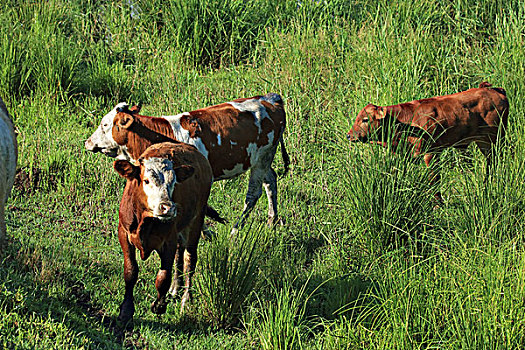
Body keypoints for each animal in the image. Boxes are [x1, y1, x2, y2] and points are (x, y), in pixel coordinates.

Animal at [87, 94, 290, 234]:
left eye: (104, 124)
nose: (88, 142)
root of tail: (270, 99)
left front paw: (206, 233)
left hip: (261, 159)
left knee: (253, 194)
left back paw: (235, 230)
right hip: (264, 160)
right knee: (271, 182)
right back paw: (272, 221)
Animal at [114, 142, 213, 322]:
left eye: (173, 183)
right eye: (146, 181)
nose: (168, 207)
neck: (145, 221)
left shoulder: (168, 241)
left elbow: (163, 277)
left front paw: (159, 305)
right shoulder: (123, 234)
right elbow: (130, 271)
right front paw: (126, 310)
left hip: (196, 221)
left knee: (189, 260)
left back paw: (186, 300)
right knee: (180, 256)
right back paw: (175, 289)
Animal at [346, 81, 510, 200]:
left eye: (365, 119)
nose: (349, 135)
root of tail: (493, 89)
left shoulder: (430, 153)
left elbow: (434, 181)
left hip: (493, 140)